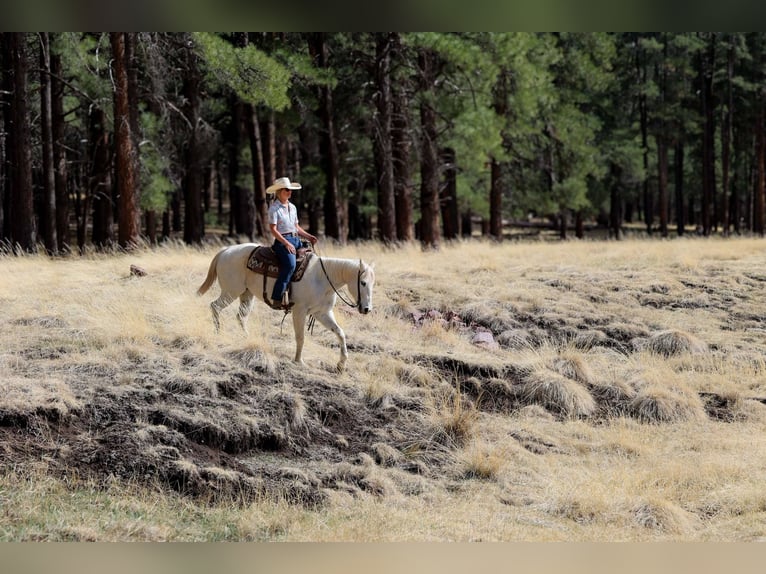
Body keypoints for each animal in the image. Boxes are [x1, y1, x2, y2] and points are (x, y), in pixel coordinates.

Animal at [197, 243, 375, 372]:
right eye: (362, 282)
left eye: (373, 283)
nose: (367, 309)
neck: (322, 278)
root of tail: (226, 250)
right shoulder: (299, 311)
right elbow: (301, 337)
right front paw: (299, 361)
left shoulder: (322, 313)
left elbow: (340, 333)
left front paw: (341, 364)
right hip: (231, 291)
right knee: (215, 307)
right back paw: (218, 333)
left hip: (246, 295)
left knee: (241, 317)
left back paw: (246, 338)